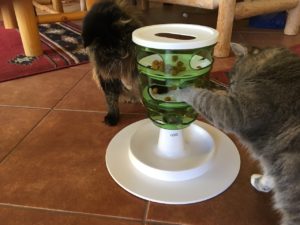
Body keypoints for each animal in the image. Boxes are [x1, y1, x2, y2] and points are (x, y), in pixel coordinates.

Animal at [177, 43, 298, 224]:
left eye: (233, 80)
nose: (231, 88)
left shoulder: (233, 111)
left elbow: (202, 96)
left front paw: (184, 90)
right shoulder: (274, 160)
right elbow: (271, 174)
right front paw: (262, 183)